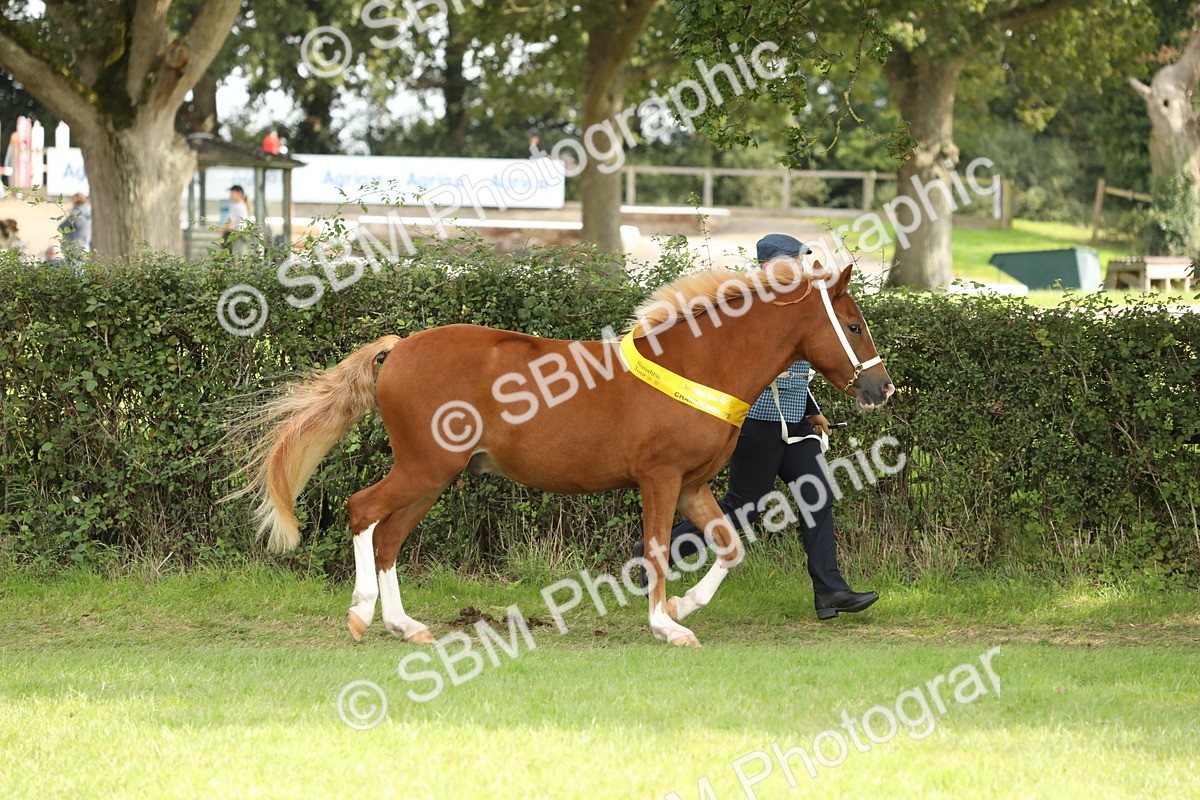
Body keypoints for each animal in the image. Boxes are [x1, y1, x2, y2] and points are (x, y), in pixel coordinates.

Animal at [229, 258, 894, 647]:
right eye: (854, 325)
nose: (881, 390)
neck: (699, 364)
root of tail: (400, 347)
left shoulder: (694, 485)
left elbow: (730, 547)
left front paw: (683, 606)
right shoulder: (659, 479)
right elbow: (658, 549)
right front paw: (665, 625)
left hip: (436, 476)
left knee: (389, 535)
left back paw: (405, 625)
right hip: (424, 467)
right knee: (363, 510)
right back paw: (363, 615)